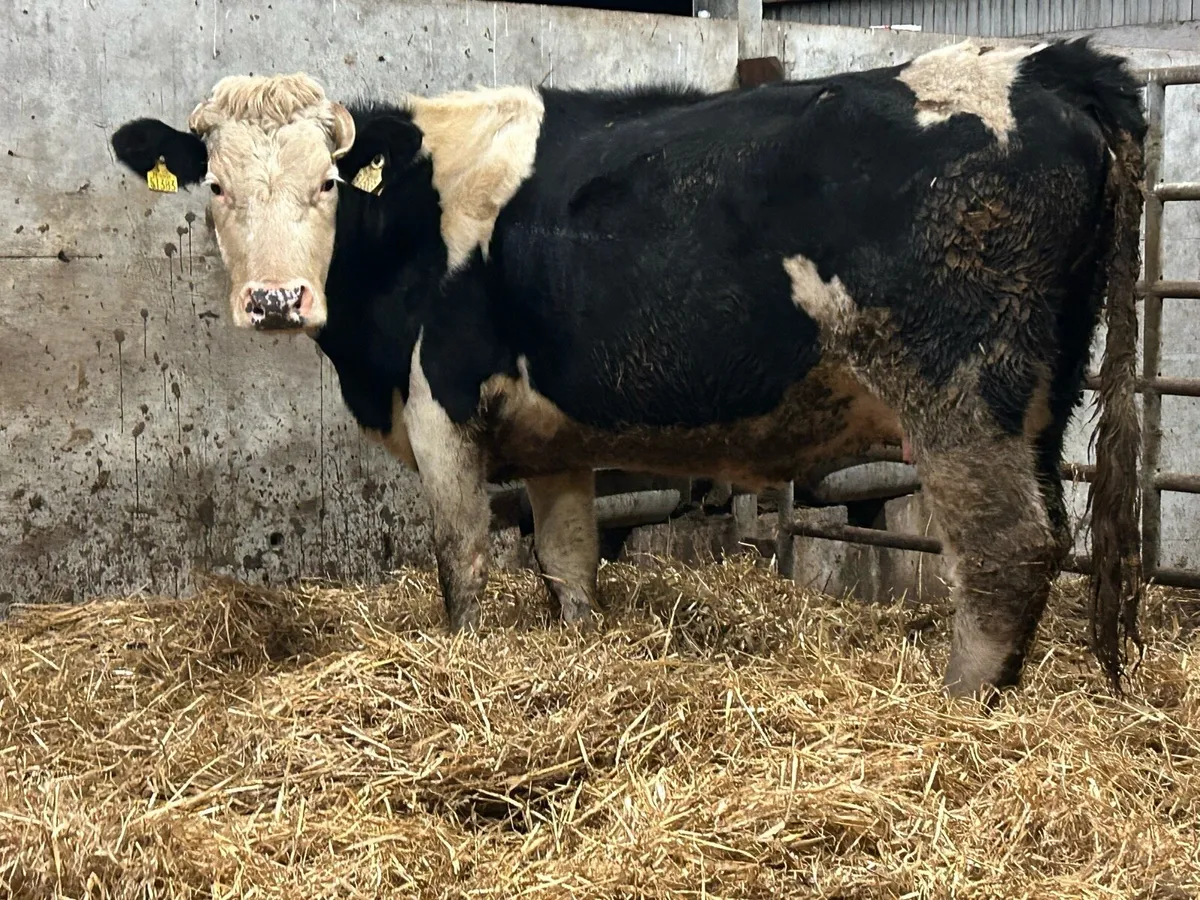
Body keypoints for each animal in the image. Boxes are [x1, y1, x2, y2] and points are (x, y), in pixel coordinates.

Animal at [110, 37, 1146, 700]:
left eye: (327, 182)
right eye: (214, 185)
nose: (276, 299)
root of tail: (1041, 64)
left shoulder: (442, 403)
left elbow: (462, 562)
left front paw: (460, 664)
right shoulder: (554, 437)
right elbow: (568, 562)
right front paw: (576, 652)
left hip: (960, 387)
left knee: (1006, 547)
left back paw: (959, 711)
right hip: (1041, 396)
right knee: (1048, 536)